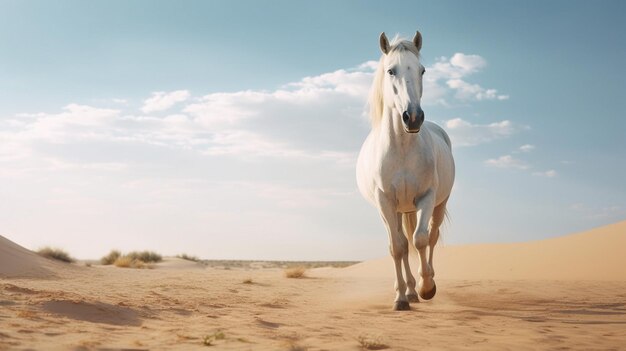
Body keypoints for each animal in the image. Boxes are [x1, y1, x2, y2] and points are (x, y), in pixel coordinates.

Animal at [356, 30, 454, 310]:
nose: (413, 117)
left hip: (440, 203)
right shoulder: (385, 202)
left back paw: (421, 285)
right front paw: (401, 297)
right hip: (395, 210)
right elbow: (397, 248)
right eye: (391, 71)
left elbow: (421, 239)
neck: (401, 148)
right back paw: (408, 290)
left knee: (430, 237)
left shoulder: (427, 197)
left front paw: (427, 287)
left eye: (422, 70)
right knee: (401, 242)